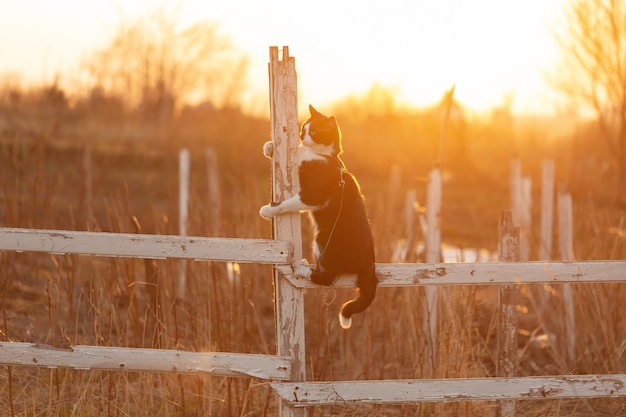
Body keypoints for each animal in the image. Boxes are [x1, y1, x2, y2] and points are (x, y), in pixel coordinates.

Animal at [258, 105, 376, 330]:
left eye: (313, 131)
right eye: (304, 126)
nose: (302, 135)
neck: (322, 156)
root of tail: (369, 262)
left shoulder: (312, 196)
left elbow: (288, 203)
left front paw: (268, 211)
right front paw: (269, 147)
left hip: (323, 240)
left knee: (327, 278)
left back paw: (301, 268)